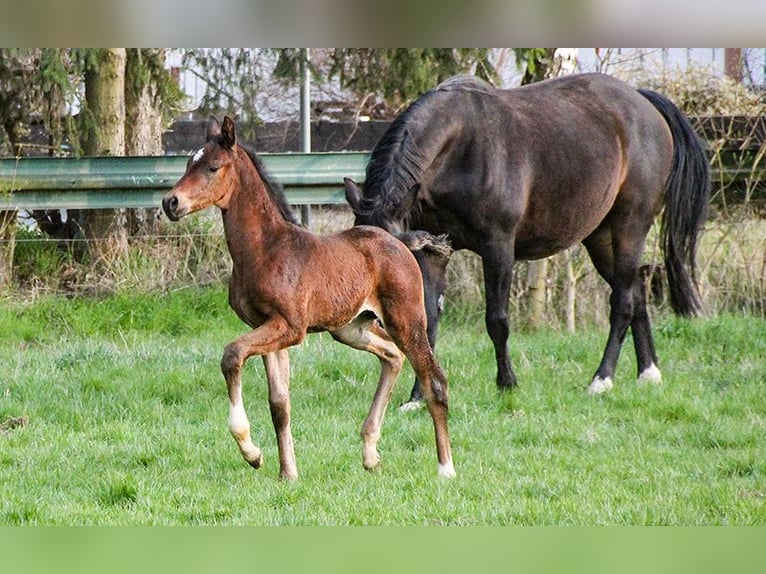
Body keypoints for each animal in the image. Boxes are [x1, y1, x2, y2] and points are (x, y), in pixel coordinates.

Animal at [158, 117, 452, 482]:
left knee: (433, 380)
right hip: (350, 327)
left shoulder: (290, 327)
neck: (266, 249)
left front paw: (251, 452)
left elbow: (232, 355)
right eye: (188, 164)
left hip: (406, 319)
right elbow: (279, 404)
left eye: (212, 167)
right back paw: (370, 453)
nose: (171, 203)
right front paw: (288, 473)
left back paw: (445, 468)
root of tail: (400, 241)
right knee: (392, 356)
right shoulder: (266, 327)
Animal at [348, 73, 712, 404]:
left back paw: (602, 379)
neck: (460, 148)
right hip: (600, 238)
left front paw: (507, 384)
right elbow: (427, 322)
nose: (368, 314)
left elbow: (497, 320)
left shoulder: (498, 246)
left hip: (629, 227)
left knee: (623, 300)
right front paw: (418, 398)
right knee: (636, 291)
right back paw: (648, 372)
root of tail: (643, 101)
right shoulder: (433, 251)